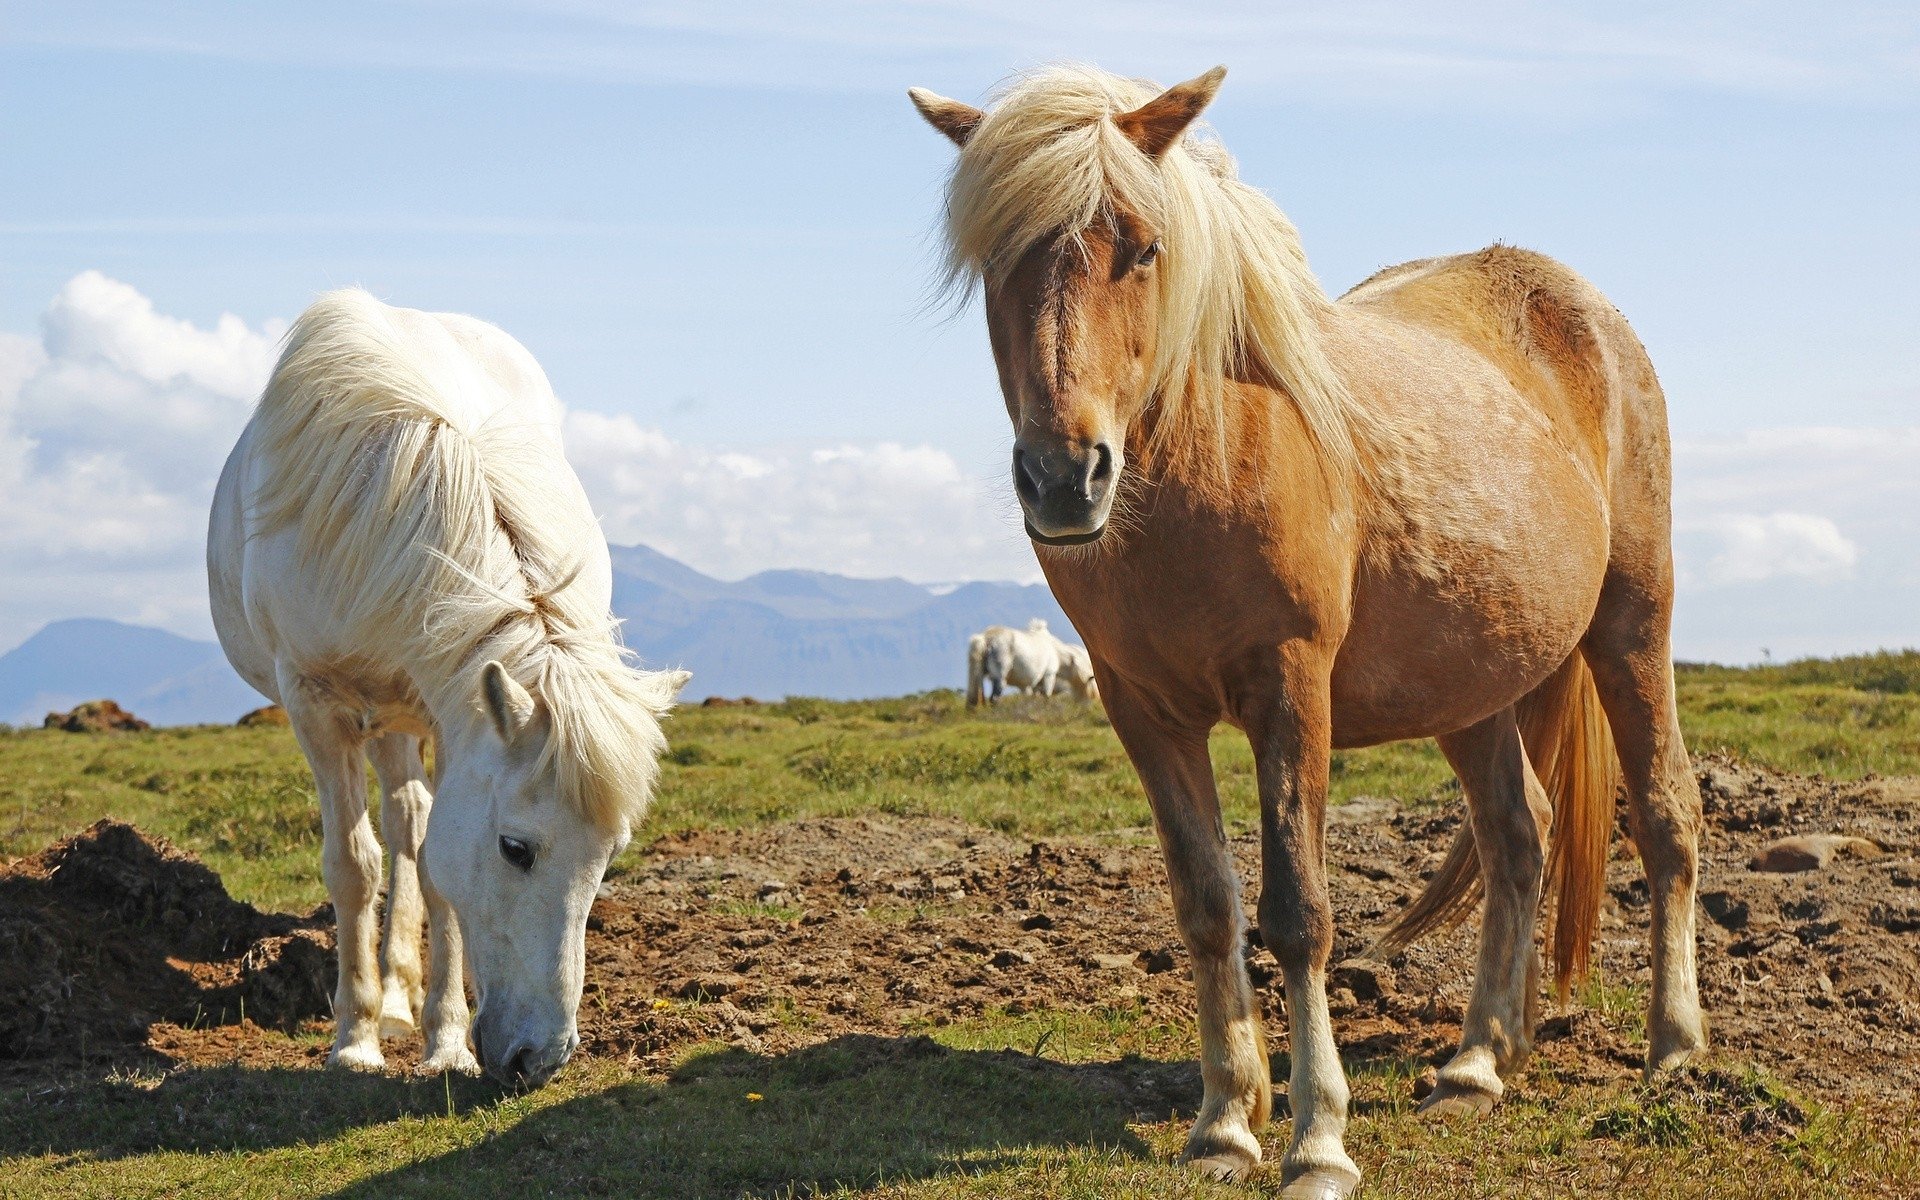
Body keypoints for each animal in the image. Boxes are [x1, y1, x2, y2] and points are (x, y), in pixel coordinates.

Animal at [208, 290, 688, 1085]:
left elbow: (434, 865)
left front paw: (445, 1042)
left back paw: (405, 1000)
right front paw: (354, 1040)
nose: (542, 1059)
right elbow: (352, 864)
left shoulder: (446, 713)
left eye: (610, 855)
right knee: (396, 827)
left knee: (410, 823)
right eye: (515, 848)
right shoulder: (316, 706)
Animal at [966, 618, 1101, 706]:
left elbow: (1033, 699)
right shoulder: (1048, 675)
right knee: (994, 698)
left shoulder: (1034, 684)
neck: (1055, 650)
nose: (1087, 708)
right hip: (1000, 676)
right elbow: (1047, 696)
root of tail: (985, 638)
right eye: (1089, 690)